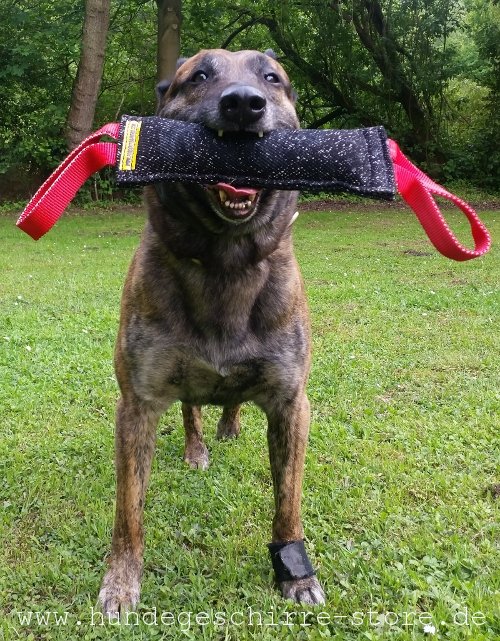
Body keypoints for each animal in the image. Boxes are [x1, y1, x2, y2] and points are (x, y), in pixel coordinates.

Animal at [98, 47, 324, 612]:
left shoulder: (292, 402)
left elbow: (288, 498)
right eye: (198, 76)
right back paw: (199, 445)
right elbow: (128, 508)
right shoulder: (137, 402)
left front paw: (295, 572)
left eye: (272, 77)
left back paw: (230, 424)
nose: (244, 103)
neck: (225, 261)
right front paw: (121, 579)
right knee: (192, 408)